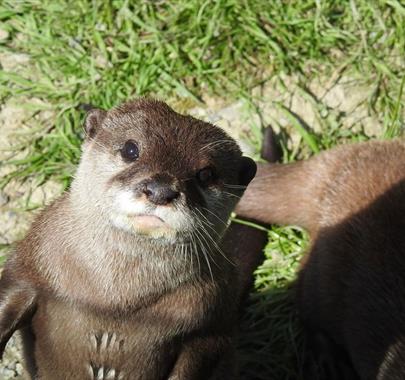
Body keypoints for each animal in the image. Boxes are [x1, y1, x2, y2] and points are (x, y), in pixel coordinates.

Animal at [0, 98, 264, 380]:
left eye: (206, 174)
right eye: (130, 149)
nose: (161, 190)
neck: (114, 300)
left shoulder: (212, 319)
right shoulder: (32, 263)